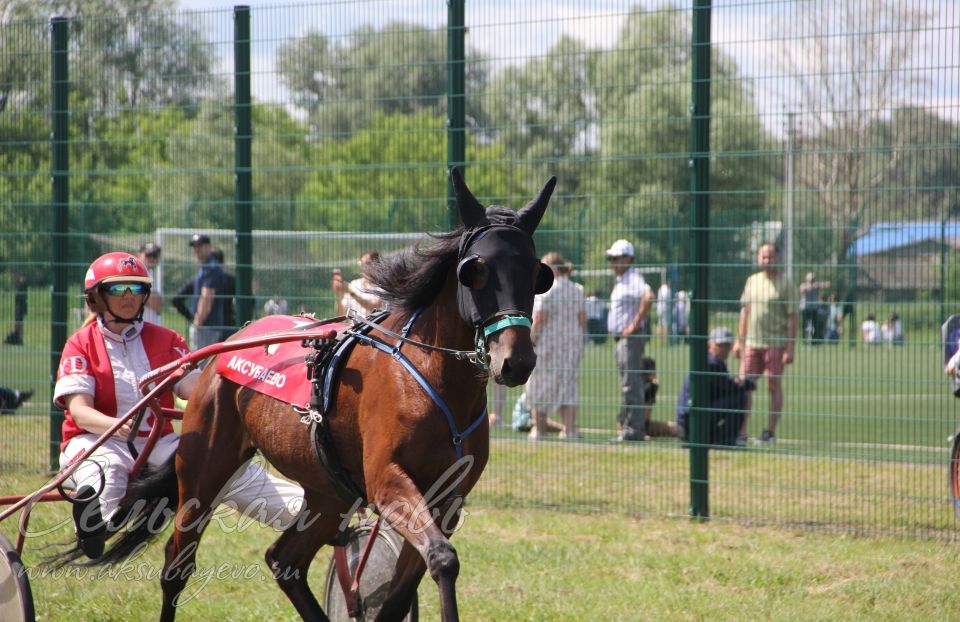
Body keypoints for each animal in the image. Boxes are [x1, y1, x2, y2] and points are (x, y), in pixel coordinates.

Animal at [89, 168, 560, 620]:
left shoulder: (447, 499)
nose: (516, 361)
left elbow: (403, 591)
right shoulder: (389, 481)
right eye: (475, 270)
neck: (430, 374)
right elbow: (443, 559)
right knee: (177, 565)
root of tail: (225, 348)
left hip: (329, 492)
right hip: (204, 468)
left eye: (538, 273)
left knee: (285, 560)